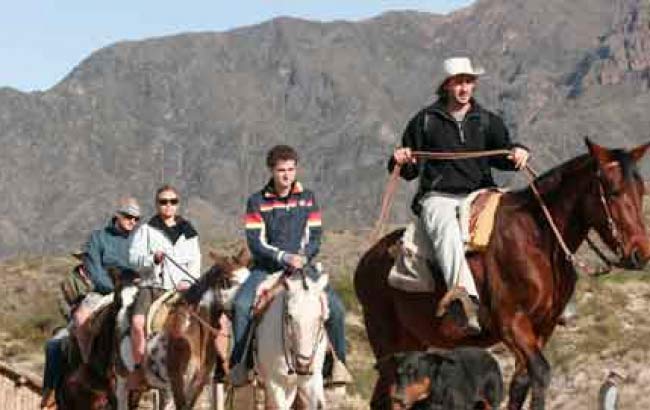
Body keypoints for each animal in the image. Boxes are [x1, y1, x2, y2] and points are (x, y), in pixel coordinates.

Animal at [354, 139, 648, 408]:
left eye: (642, 191)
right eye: (613, 191)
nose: (640, 254)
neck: (537, 238)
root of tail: (366, 259)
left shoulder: (544, 327)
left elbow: (520, 383)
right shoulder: (512, 323)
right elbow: (541, 373)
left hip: (413, 343)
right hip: (385, 341)